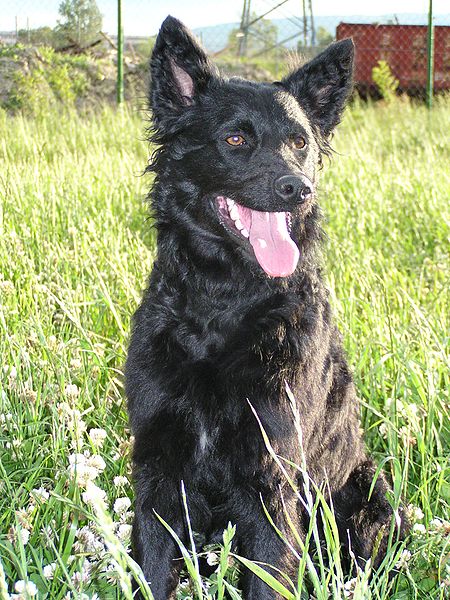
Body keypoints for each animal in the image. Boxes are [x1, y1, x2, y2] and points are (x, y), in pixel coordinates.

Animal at [125, 15, 406, 600]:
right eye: (235, 138)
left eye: (300, 142)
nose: (298, 189)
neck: (224, 307)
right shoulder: (159, 469)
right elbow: (153, 569)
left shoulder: (271, 479)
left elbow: (268, 576)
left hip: (370, 511)